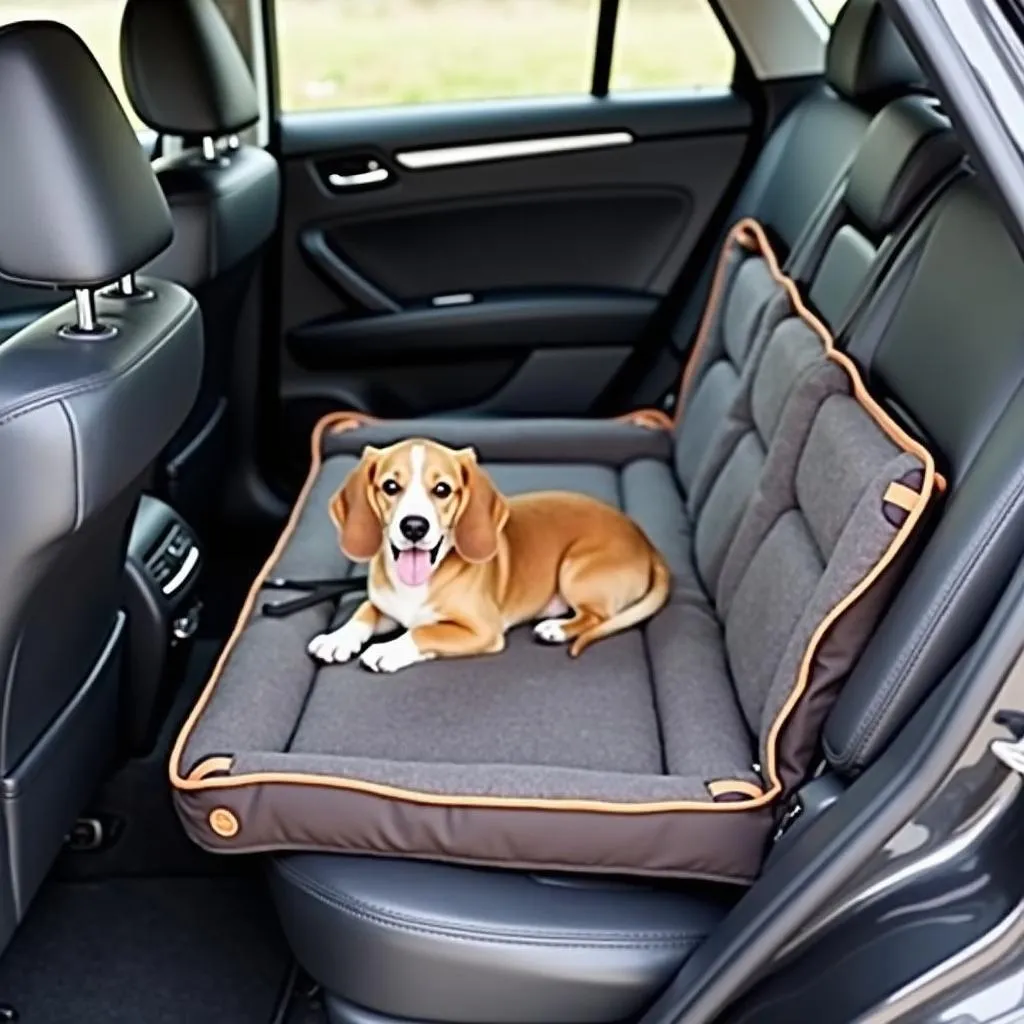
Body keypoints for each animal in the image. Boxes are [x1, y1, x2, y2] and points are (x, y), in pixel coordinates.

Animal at [307, 438, 667, 671]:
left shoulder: (482, 631)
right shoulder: (385, 604)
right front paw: (338, 639)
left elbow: (425, 630)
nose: (414, 527)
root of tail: (647, 542)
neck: (418, 584)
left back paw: (556, 628)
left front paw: (389, 650)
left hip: (574, 569)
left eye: (442, 489)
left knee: (597, 616)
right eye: (390, 487)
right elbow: (364, 612)